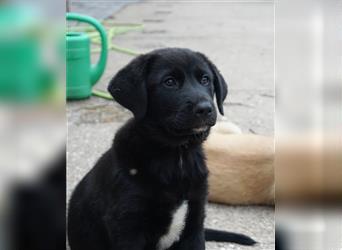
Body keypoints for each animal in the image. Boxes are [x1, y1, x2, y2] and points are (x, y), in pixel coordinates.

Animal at [68, 47, 255, 249]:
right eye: (169, 82)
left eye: (205, 79)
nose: (205, 109)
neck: (177, 156)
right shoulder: (128, 226)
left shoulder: (195, 222)